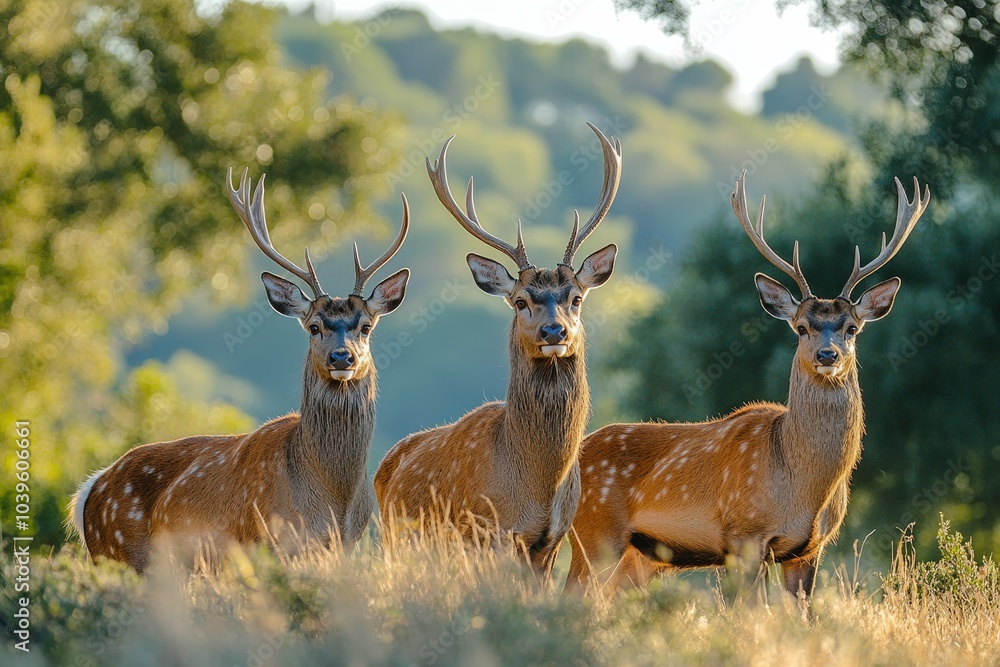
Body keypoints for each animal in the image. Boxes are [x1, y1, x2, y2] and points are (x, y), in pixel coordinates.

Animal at [67, 168, 411, 572]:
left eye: (366, 326)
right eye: (314, 326)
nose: (342, 358)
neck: (334, 502)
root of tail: (89, 491)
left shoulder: (344, 547)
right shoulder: (269, 539)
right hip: (118, 552)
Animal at [374, 122, 622, 579]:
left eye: (576, 298)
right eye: (521, 301)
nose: (554, 330)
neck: (535, 487)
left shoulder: (550, 543)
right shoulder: (486, 533)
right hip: (395, 540)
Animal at [566, 171, 929, 603]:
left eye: (852, 328)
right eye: (801, 327)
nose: (827, 355)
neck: (803, 487)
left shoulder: (810, 549)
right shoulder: (745, 535)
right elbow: (755, 611)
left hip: (637, 556)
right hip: (594, 532)